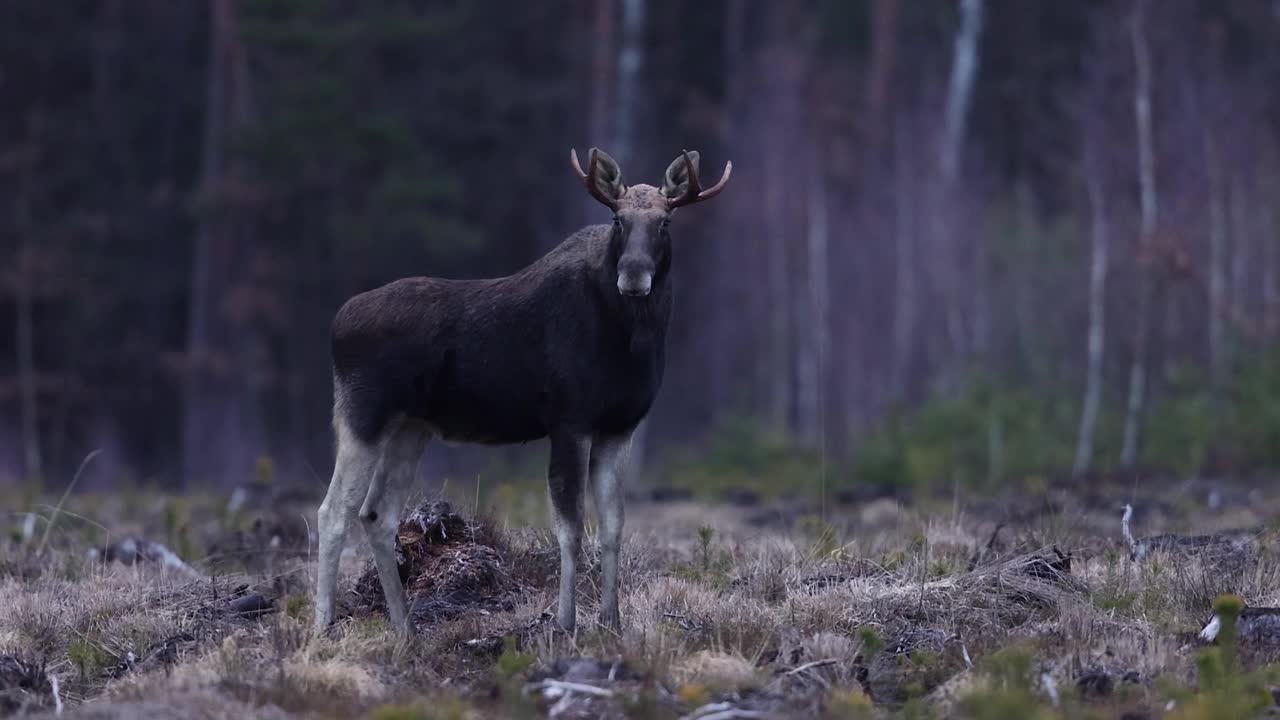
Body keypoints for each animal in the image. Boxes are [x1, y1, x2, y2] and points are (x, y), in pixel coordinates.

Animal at [312, 146, 732, 632]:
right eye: (617, 220)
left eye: (665, 222)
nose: (633, 276)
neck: (634, 340)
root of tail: (335, 324)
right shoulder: (570, 421)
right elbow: (570, 528)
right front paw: (566, 621)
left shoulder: (619, 428)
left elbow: (613, 527)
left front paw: (612, 620)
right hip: (362, 415)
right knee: (333, 511)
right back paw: (324, 626)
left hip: (411, 427)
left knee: (377, 514)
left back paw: (405, 628)